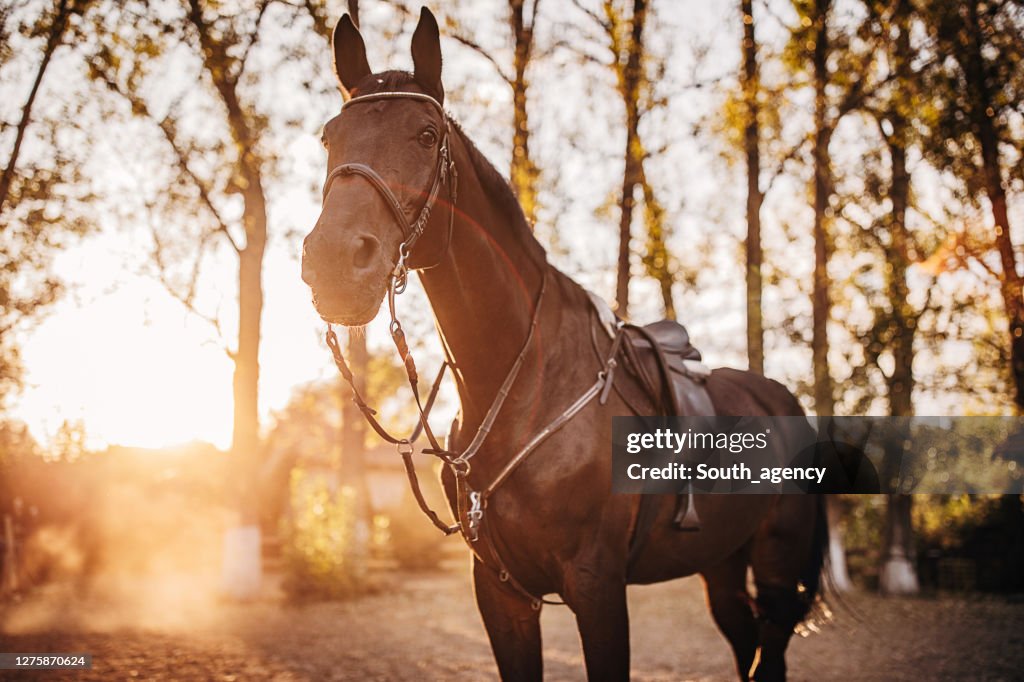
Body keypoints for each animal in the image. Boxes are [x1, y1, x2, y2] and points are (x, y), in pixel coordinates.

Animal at [300, 9, 826, 681]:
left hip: (779, 575)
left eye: (424, 134)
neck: (524, 384)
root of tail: (784, 401)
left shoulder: (597, 588)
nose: (335, 262)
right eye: (329, 138)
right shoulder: (503, 594)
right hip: (722, 568)